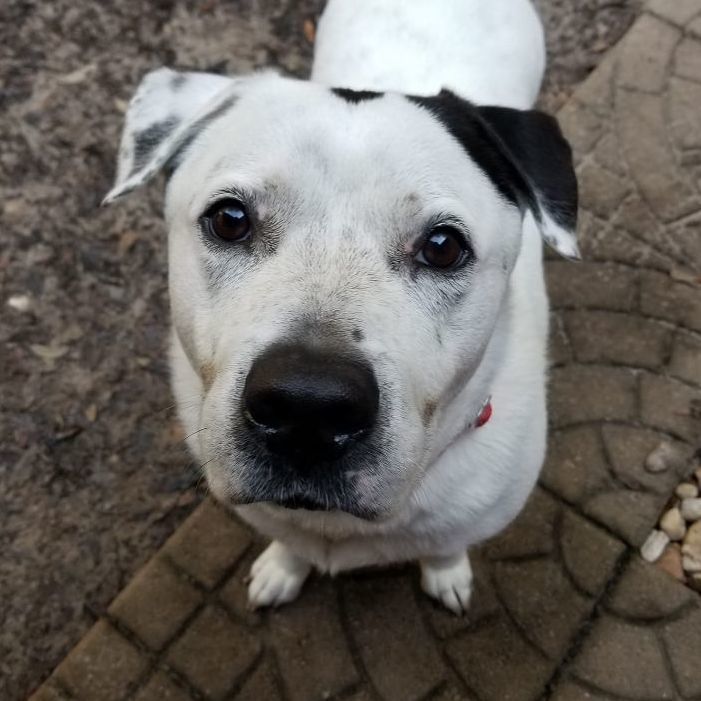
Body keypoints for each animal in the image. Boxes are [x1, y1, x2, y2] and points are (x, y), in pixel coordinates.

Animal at [102, 0, 576, 612]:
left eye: (443, 246)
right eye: (229, 219)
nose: (309, 406)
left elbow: (447, 544)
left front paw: (446, 573)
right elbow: (288, 542)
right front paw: (282, 569)